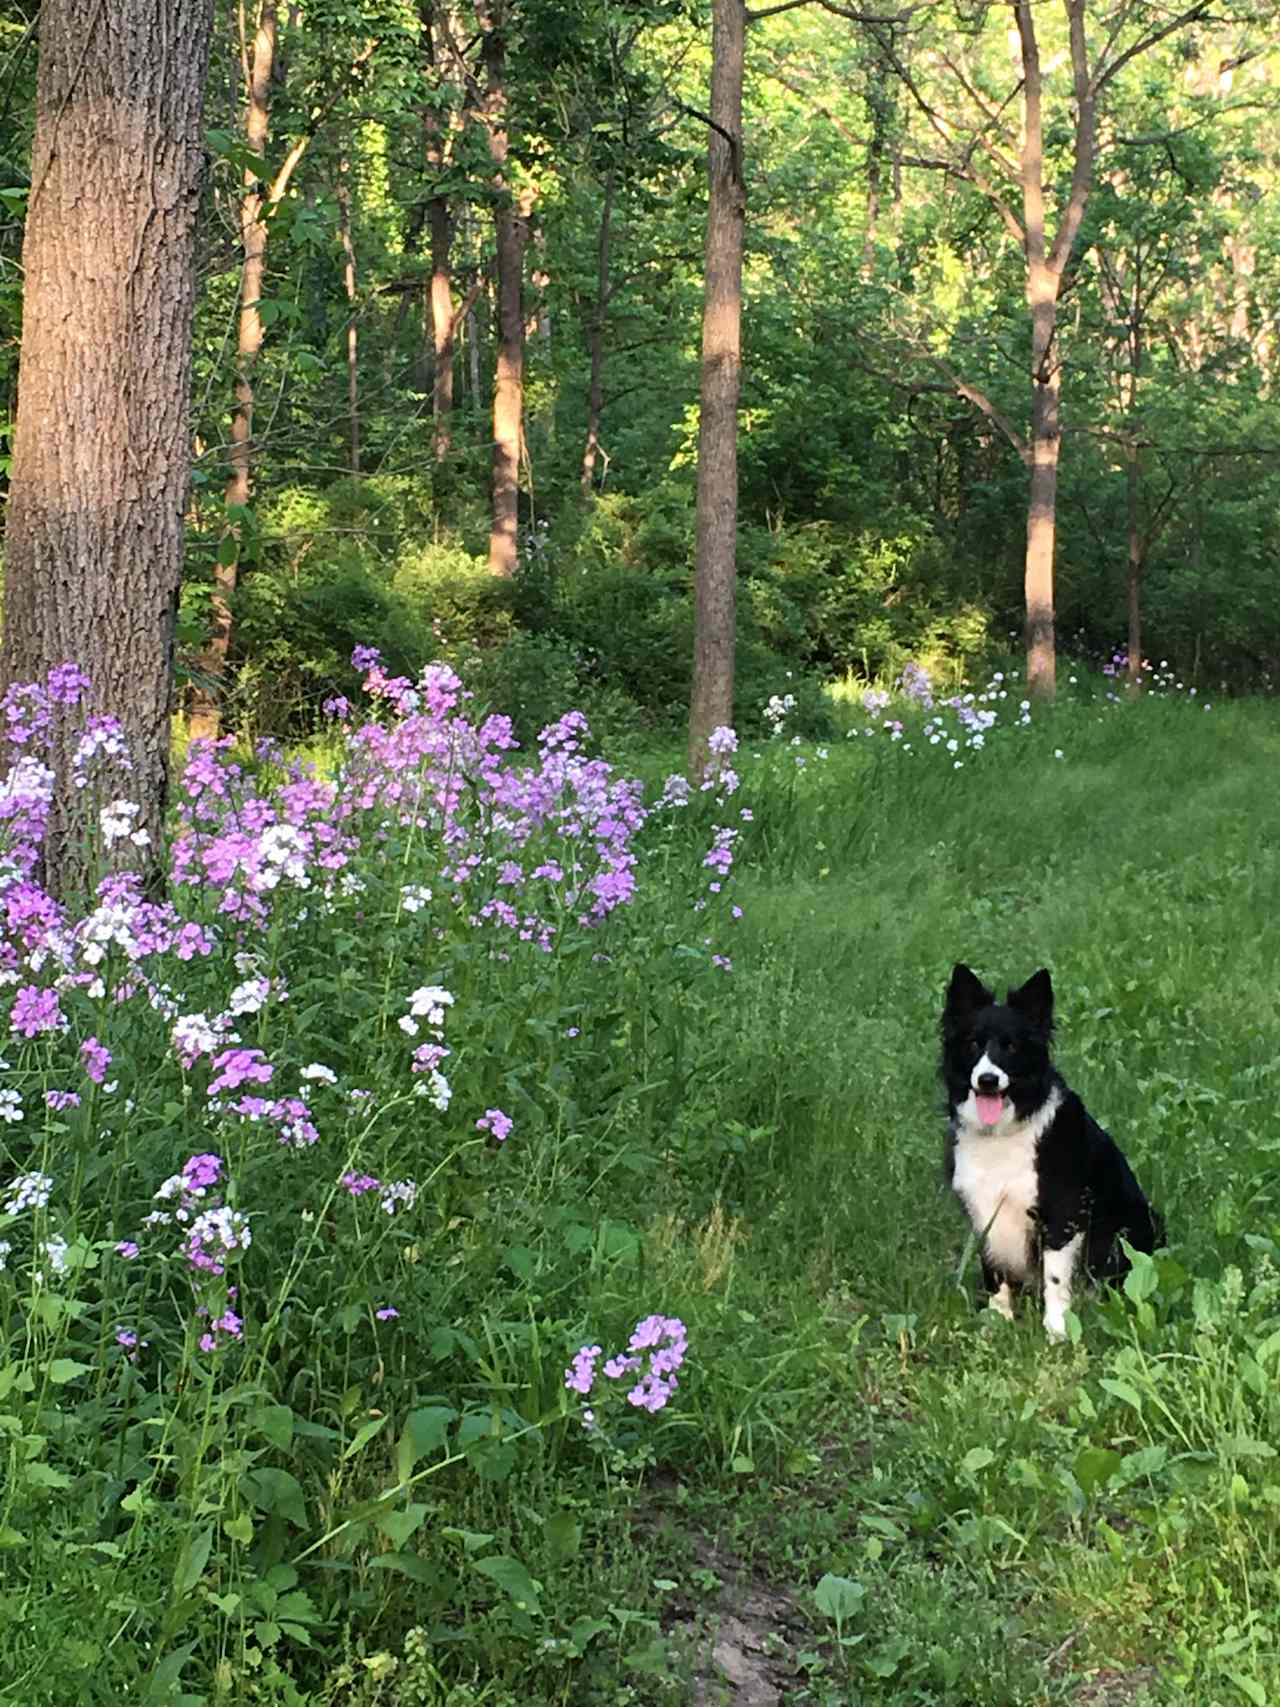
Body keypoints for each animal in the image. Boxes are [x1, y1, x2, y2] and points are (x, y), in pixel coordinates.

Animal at [942, 969, 1160, 1338]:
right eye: (973, 1044)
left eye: (1011, 1046)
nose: (987, 1080)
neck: (1003, 1134)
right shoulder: (984, 1210)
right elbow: (995, 1271)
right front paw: (997, 1323)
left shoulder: (1061, 1213)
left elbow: (1055, 1279)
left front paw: (1057, 1331)